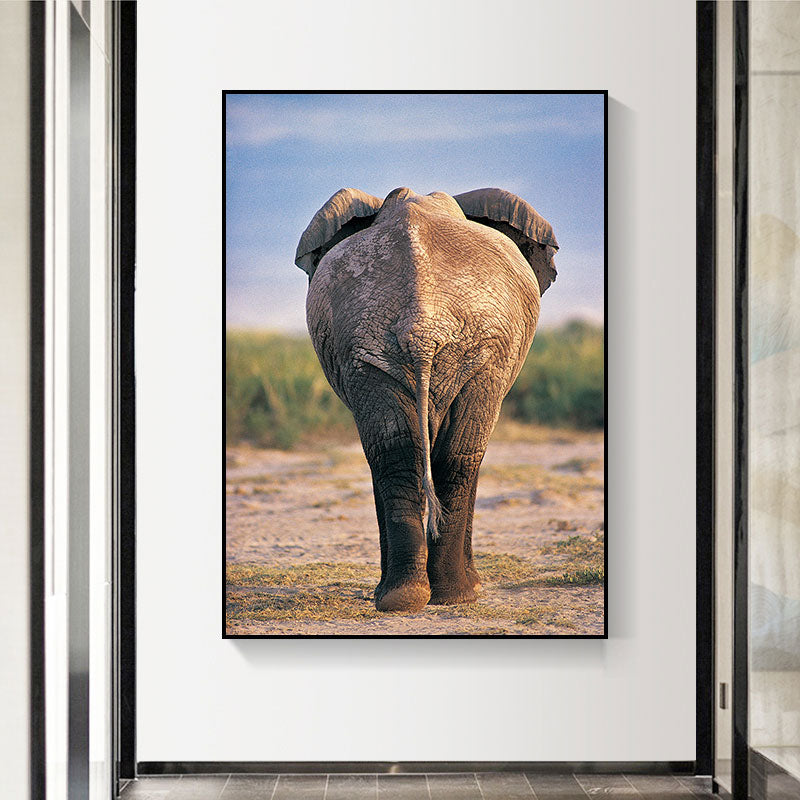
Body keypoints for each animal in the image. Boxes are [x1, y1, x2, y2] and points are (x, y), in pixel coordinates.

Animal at [295, 186, 558, 612]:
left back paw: (408, 598)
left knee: (398, 452)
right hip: (434, 350)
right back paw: (453, 595)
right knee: (455, 452)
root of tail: (422, 324)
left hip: (383, 348)